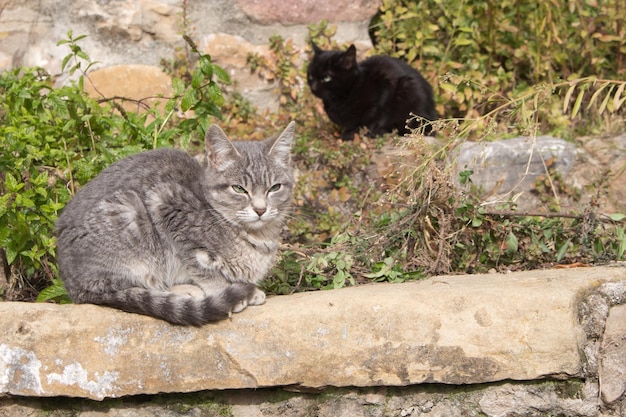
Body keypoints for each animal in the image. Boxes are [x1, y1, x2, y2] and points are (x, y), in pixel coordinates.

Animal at [56, 121, 294, 324]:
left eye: (274, 187)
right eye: (239, 189)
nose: (260, 209)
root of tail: (72, 287)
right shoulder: (167, 206)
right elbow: (203, 270)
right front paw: (227, 290)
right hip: (129, 216)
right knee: (121, 289)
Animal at [306, 43, 434, 139]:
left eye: (326, 78)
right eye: (311, 76)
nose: (313, 88)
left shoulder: (385, 85)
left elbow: (377, 117)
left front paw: (358, 133)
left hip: (409, 88)